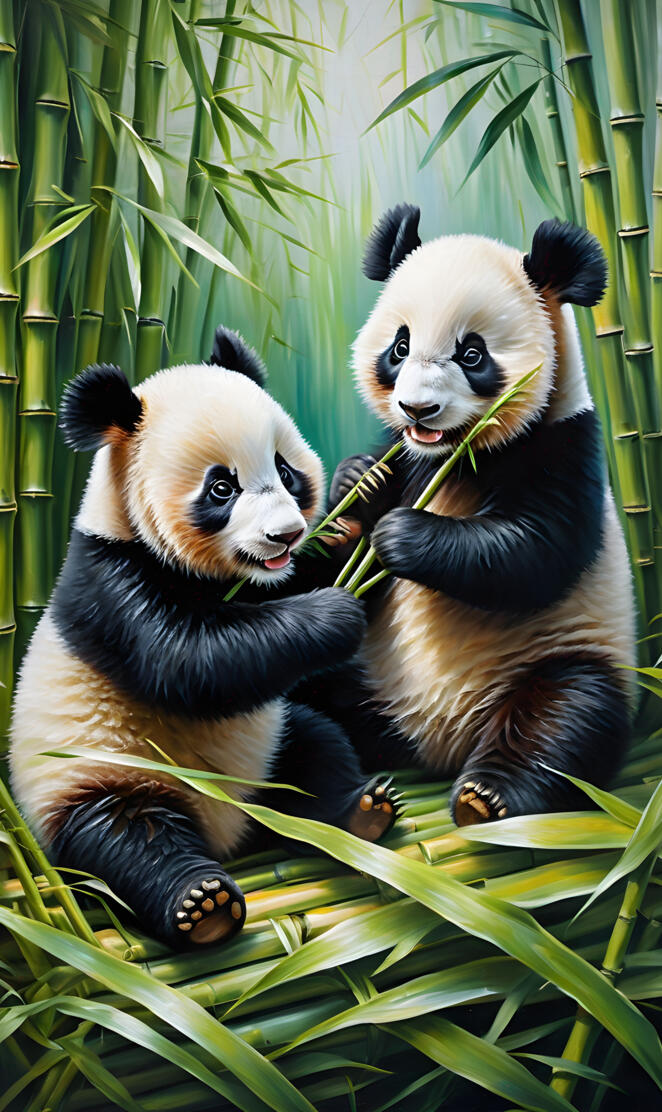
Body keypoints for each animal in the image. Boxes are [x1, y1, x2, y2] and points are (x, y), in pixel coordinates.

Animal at [9, 327, 396, 948]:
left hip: (270, 744)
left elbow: (297, 581)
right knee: (129, 840)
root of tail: (231, 833)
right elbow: (189, 660)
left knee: (316, 750)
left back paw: (361, 809)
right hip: (99, 778)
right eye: (221, 488)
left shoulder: (265, 580)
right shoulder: (114, 581)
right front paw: (333, 614)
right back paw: (201, 903)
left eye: (285, 470)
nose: (284, 534)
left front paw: (360, 487)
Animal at [321, 206, 636, 827]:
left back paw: (484, 797)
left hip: (561, 654)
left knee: (569, 714)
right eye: (400, 346)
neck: (458, 454)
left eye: (472, 354)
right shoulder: (406, 454)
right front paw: (357, 488)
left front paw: (401, 535)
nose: (418, 408)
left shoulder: (563, 445)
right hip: (367, 668)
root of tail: (432, 745)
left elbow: (531, 553)